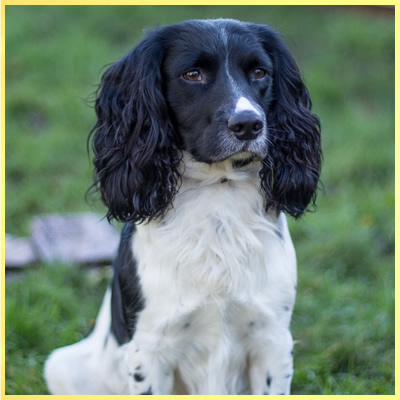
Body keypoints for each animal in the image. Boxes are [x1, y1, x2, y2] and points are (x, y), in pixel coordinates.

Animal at [43, 18, 320, 394]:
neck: (218, 192)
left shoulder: (271, 339)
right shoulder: (151, 347)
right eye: (192, 74)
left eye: (260, 72)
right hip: (61, 366)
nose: (249, 124)